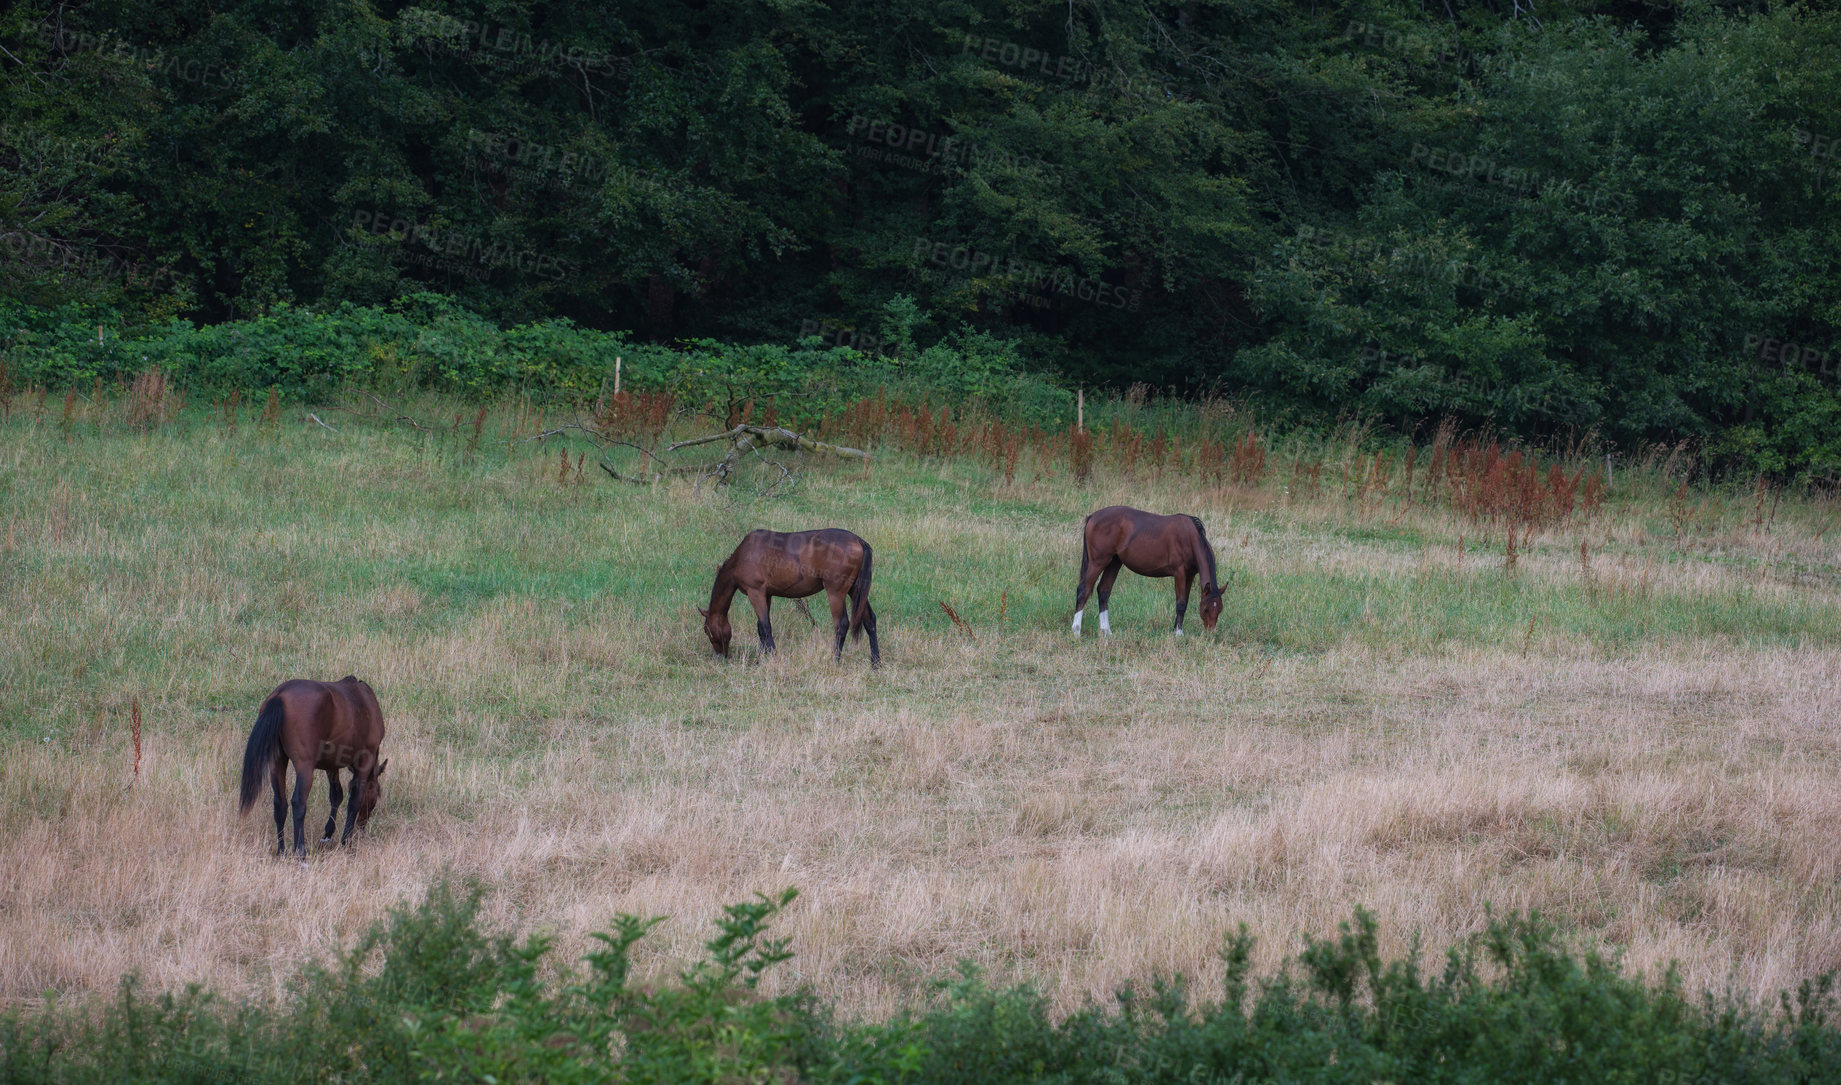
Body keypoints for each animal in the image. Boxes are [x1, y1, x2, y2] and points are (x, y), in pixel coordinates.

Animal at [237, 674, 388, 858]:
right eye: (377, 793)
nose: (362, 825)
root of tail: (280, 695)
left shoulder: (332, 765)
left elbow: (336, 795)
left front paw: (327, 835)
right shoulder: (365, 760)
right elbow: (354, 800)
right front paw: (346, 842)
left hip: (277, 762)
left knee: (280, 804)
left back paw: (281, 851)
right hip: (305, 767)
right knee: (298, 803)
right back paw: (300, 852)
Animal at [699, 526, 879, 663]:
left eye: (707, 630)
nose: (720, 657)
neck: (743, 556)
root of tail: (858, 540)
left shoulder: (755, 592)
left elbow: (765, 627)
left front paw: (772, 655)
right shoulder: (766, 595)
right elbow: (761, 627)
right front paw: (760, 658)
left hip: (836, 593)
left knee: (841, 625)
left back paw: (835, 659)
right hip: (855, 591)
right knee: (869, 620)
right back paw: (875, 662)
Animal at [1067, 504, 1222, 633]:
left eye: (1220, 609)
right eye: (1206, 609)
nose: (1211, 632)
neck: (1189, 537)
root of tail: (1092, 517)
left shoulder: (1189, 575)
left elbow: (1184, 602)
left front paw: (1177, 630)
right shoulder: (1180, 574)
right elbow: (1181, 603)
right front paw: (1178, 634)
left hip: (1114, 563)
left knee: (1104, 591)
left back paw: (1106, 632)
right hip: (1098, 562)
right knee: (1083, 590)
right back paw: (1076, 631)